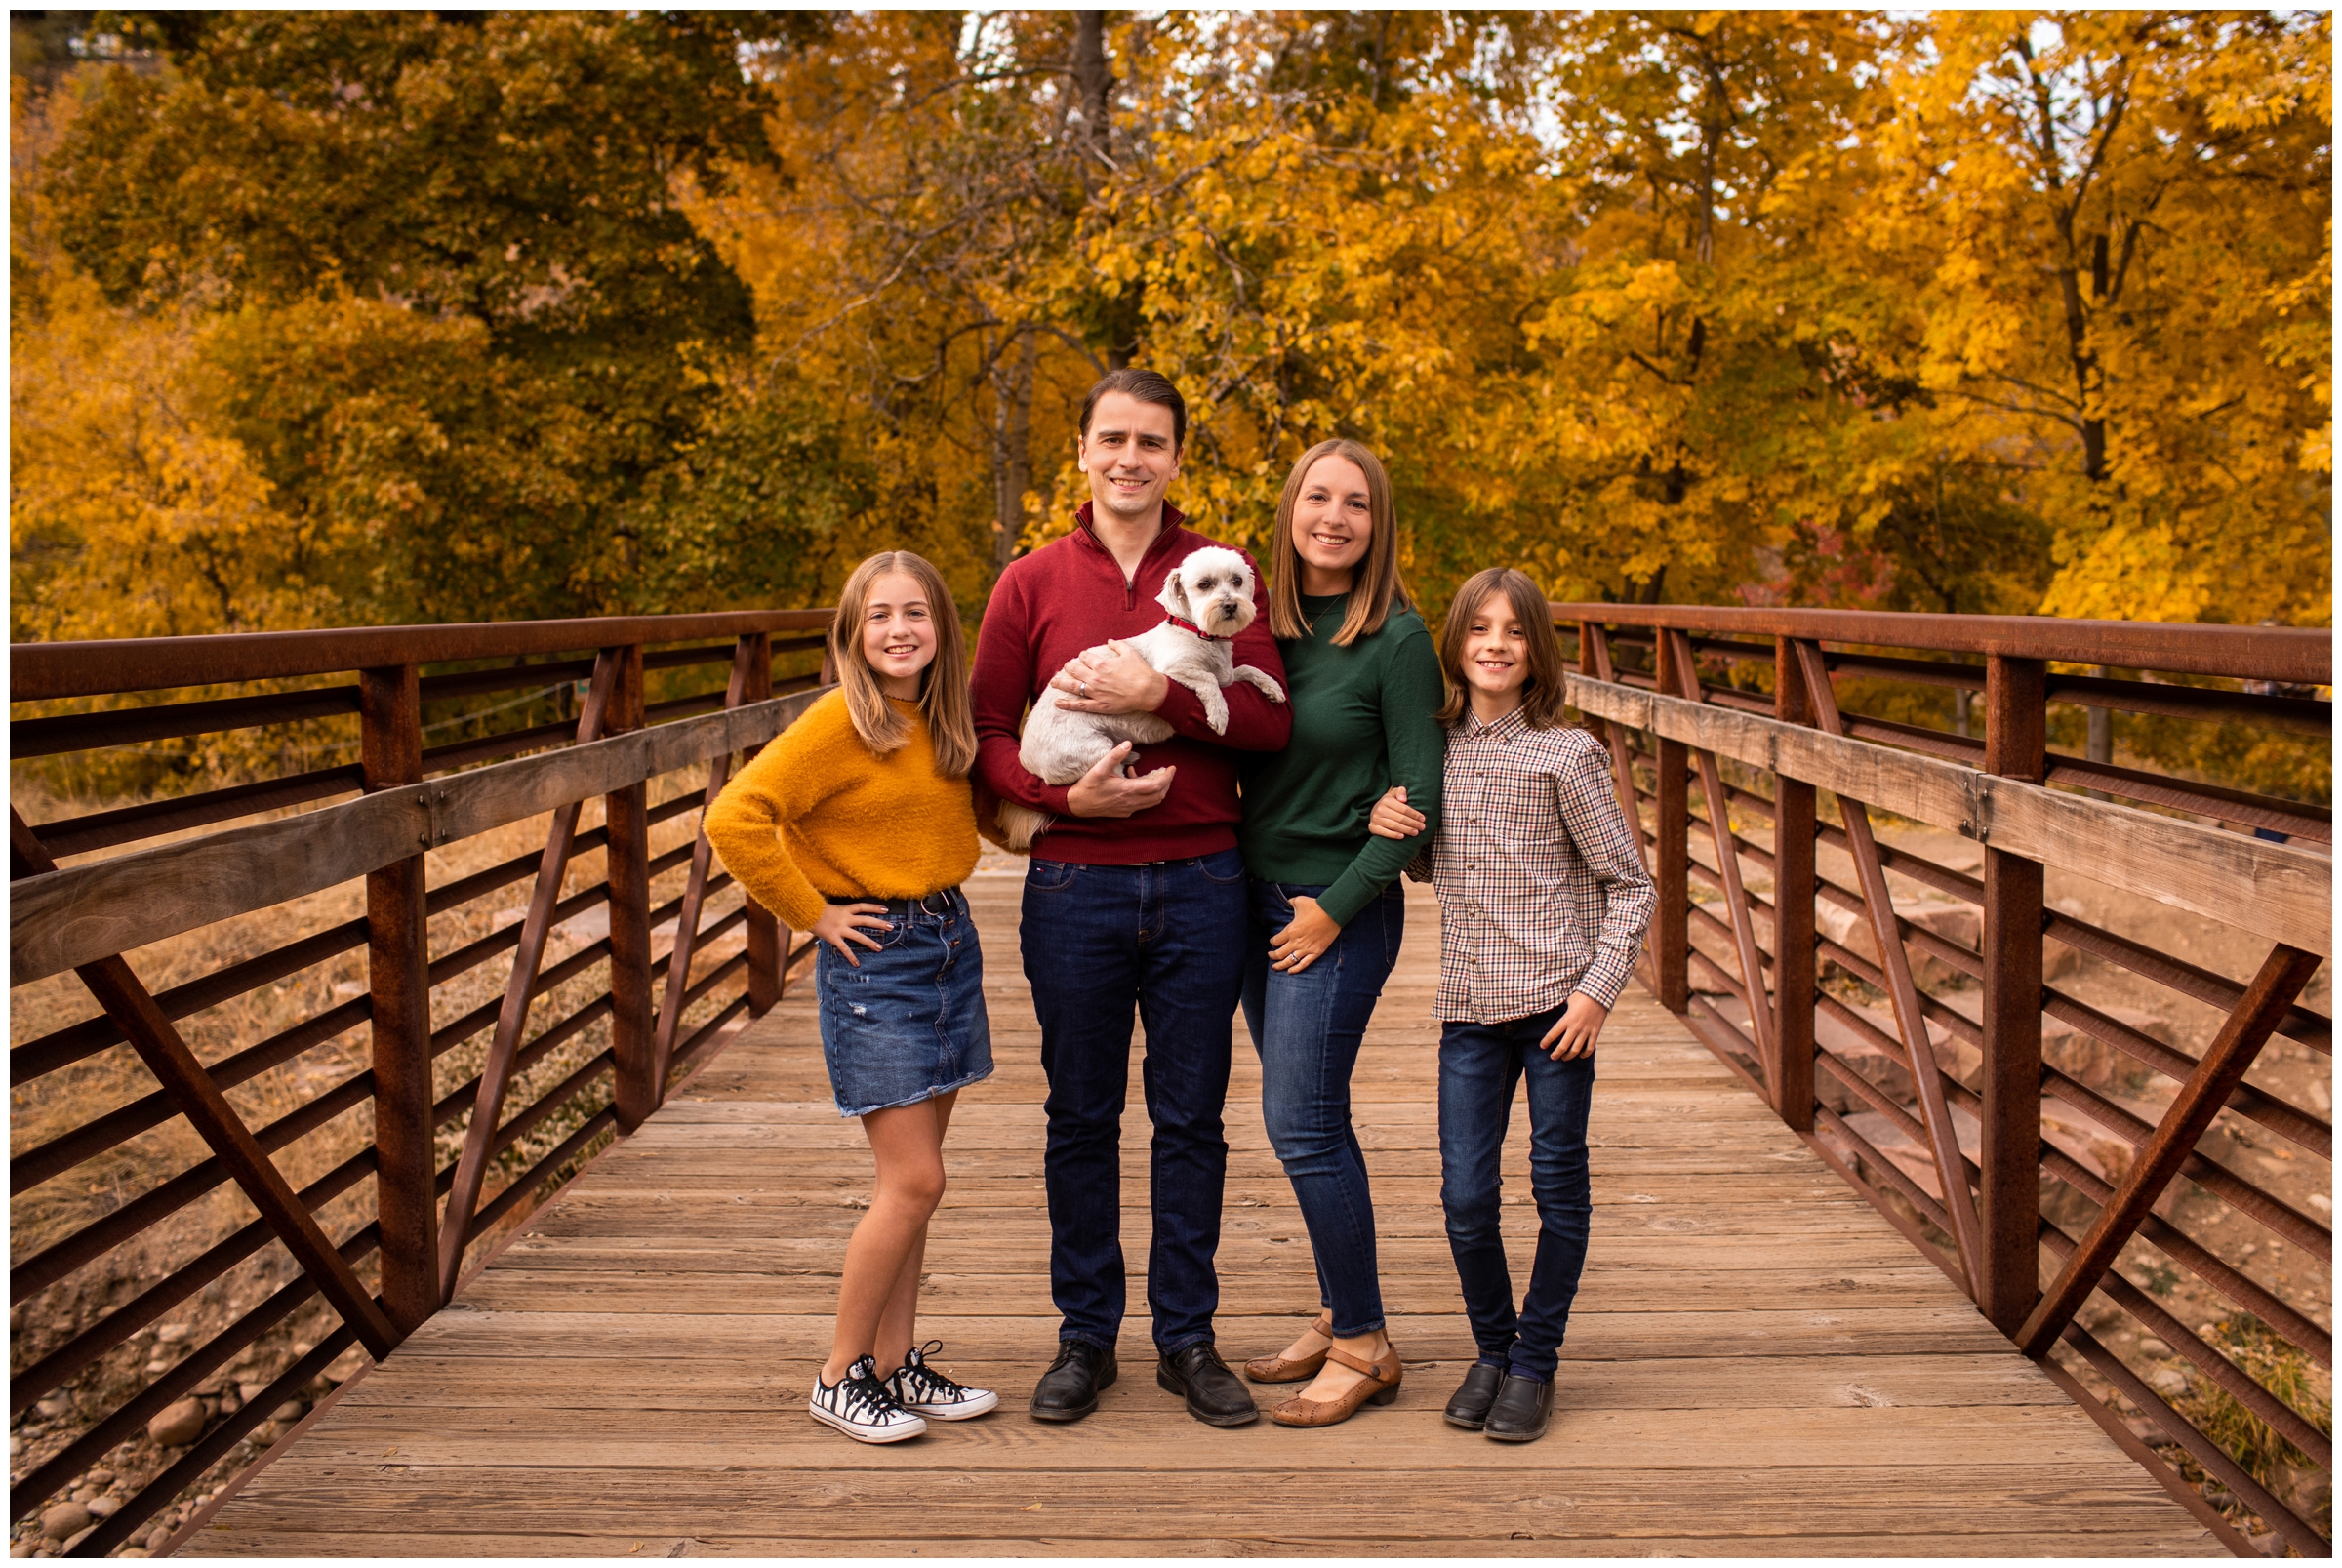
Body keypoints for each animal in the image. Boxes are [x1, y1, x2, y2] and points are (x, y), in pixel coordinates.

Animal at [1002, 547, 1292, 852]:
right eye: (1204, 584)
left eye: (1237, 581)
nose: (1230, 605)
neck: (1199, 635)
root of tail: (1028, 763)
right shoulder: (1172, 671)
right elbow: (1208, 680)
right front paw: (1219, 713)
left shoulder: (1228, 676)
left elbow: (1246, 669)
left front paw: (1271, 686)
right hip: (1091, 750)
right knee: (1115, 781)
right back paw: (1149, 778)